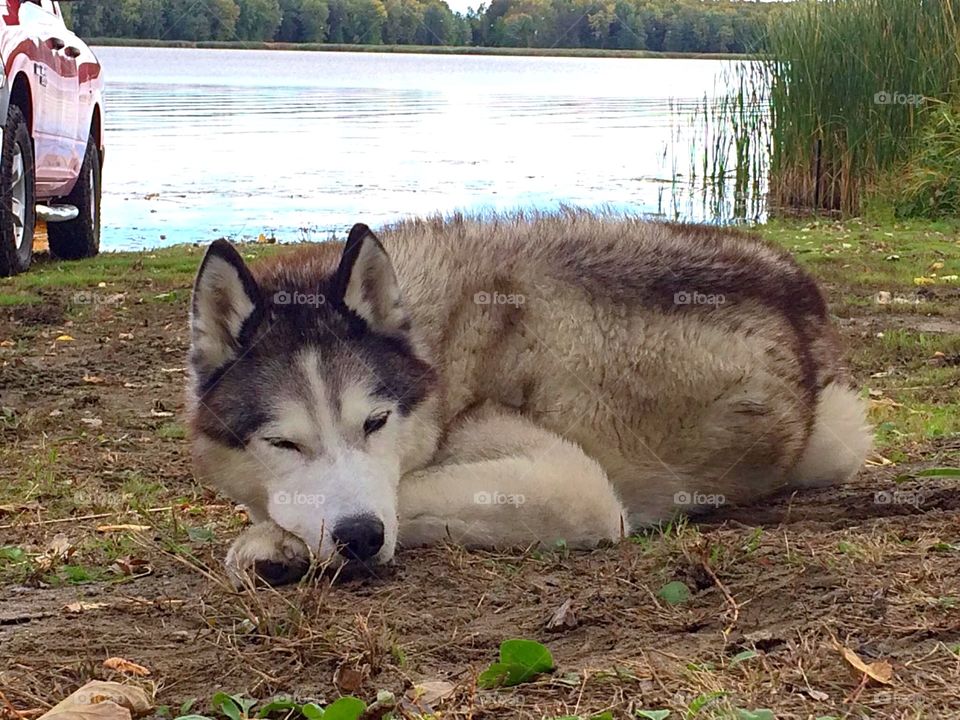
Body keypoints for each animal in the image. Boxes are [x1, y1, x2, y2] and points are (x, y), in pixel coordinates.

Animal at [186, 211, 872, 584]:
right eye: (283, 442)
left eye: (376, 422)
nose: (361, 538)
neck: (442, 345)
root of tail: (800, 284)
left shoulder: (574, 486)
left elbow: (406, 494)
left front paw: (272, 540)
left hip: (837, 437)